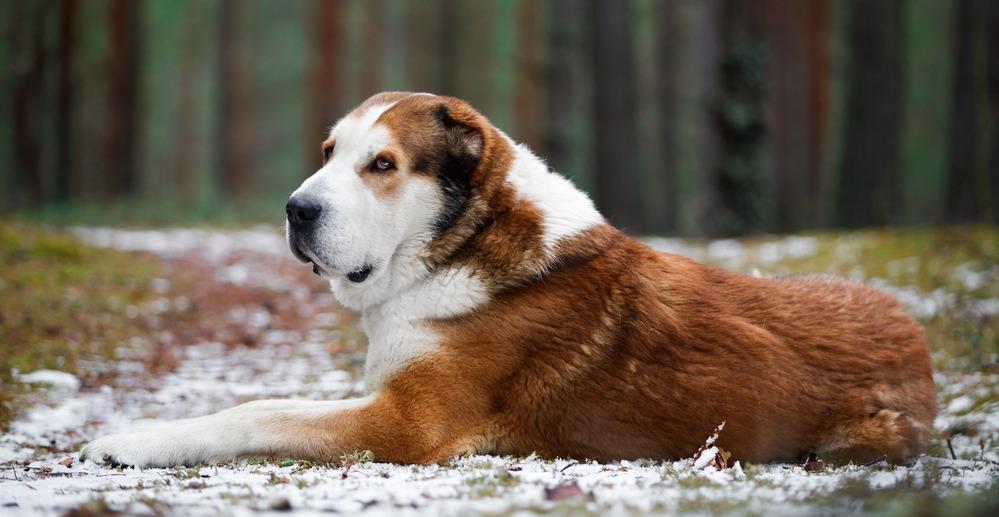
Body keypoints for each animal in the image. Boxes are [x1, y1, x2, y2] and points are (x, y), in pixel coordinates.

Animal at [80, 92, 936, 468]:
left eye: (381, 165)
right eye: (328, 152)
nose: (296, 209)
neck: (460, 248)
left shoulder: (407, 423)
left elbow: (257, 409)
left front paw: (134, 439)